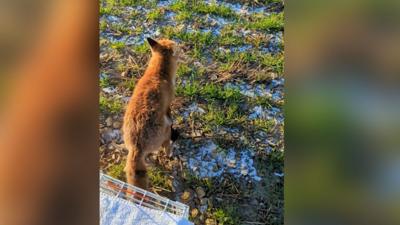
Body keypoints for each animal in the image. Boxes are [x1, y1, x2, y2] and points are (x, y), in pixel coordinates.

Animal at [122, 37, 180, 189]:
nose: (182, 46)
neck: (157, 74)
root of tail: (136, 146)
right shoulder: (168, 104)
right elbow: (170, 114)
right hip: (165, 131)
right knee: (166, 145)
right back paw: (170, 153)